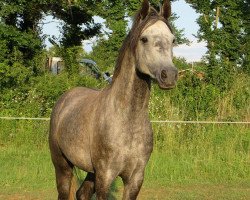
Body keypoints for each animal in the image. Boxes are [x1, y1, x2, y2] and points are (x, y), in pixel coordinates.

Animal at [48, 0, 178, 199]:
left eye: (172, 40)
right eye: (144, 39)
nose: (169, 75)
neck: (127, 120)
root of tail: (64, 99)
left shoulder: (135, 178)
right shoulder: (105, 176)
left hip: (90, 171)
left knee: (82, 193)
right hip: (62, 166)